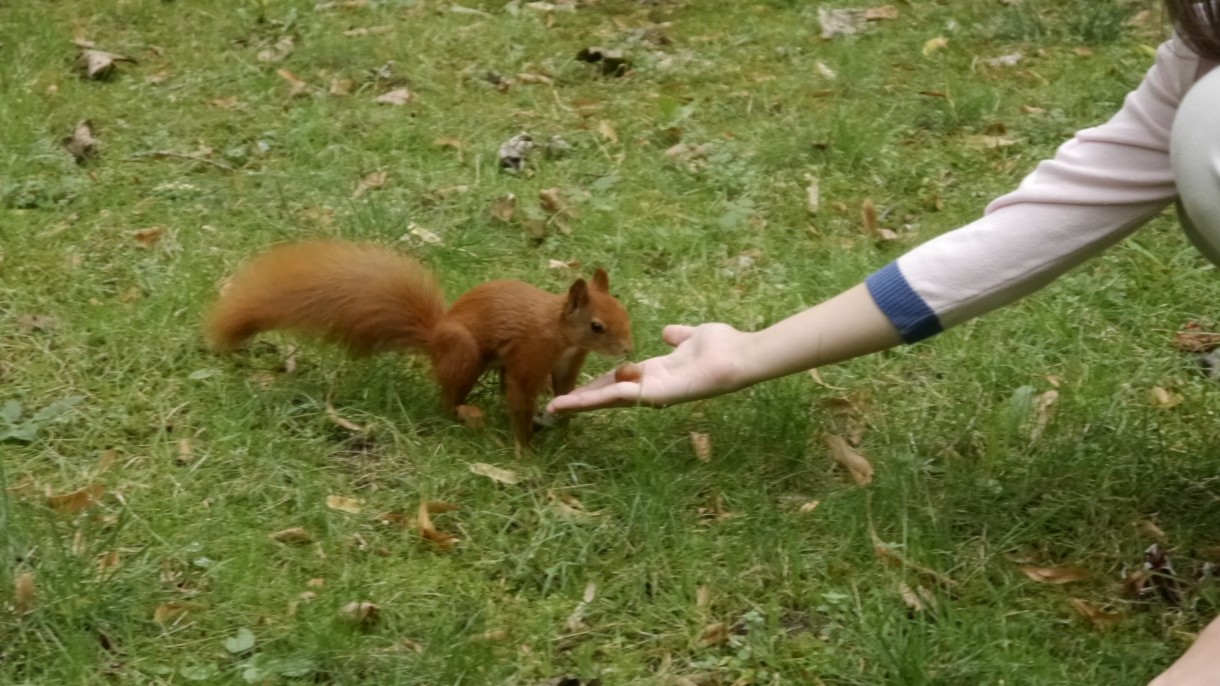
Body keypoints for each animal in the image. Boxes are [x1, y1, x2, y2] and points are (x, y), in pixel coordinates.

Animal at [203, 240, 634, 449]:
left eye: (623, 310)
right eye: (597, 326)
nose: (629, 349)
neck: (560, 334)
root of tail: (436, 335)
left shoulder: (567, 361)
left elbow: (563, 390)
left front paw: (566, 429)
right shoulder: (531, 352)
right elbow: (520, 396)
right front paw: (523, 449)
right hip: (464, 353)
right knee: (448, 399)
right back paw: (466, 412)